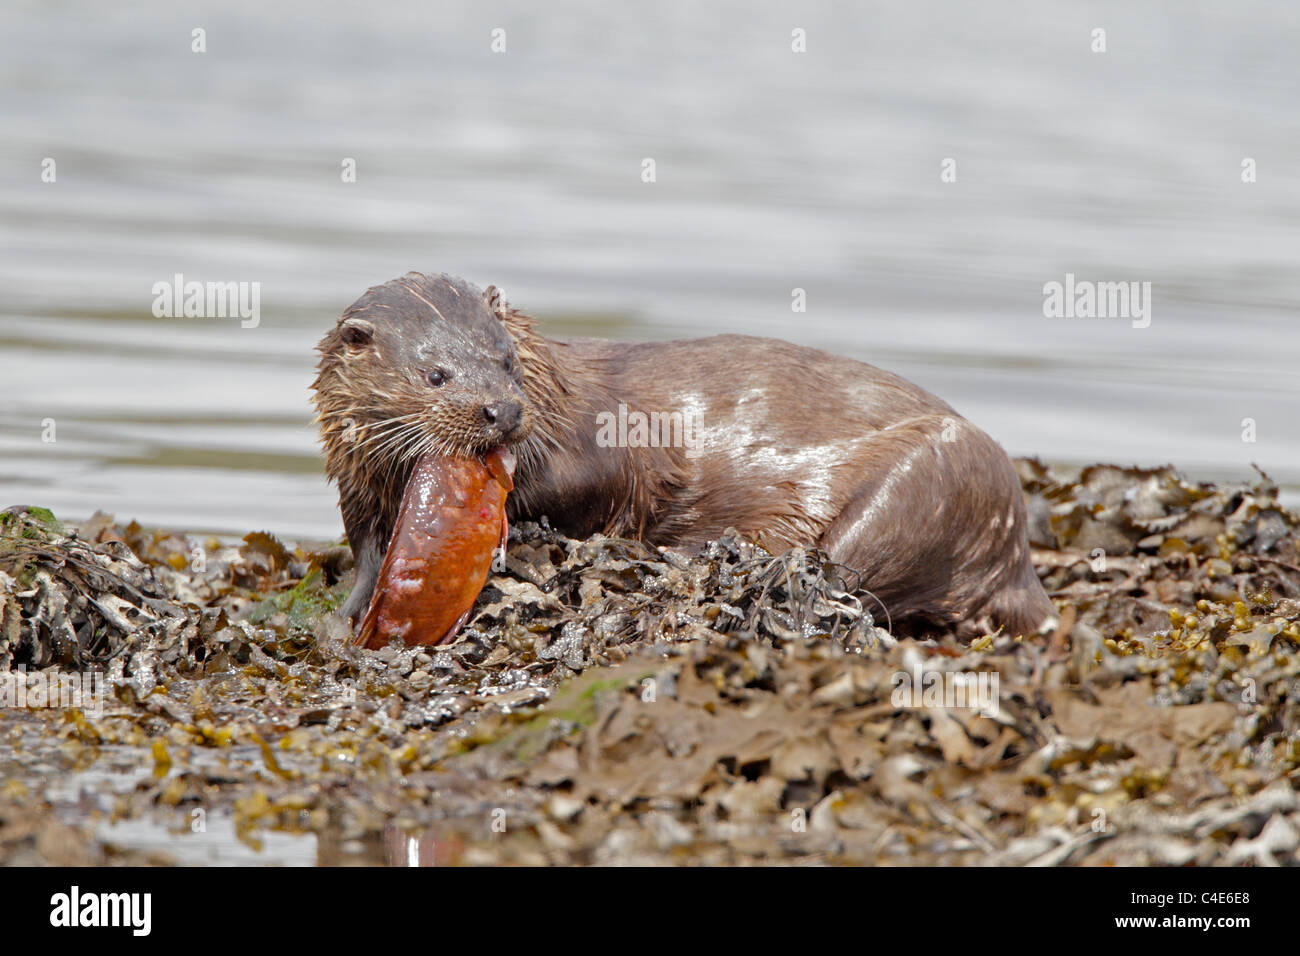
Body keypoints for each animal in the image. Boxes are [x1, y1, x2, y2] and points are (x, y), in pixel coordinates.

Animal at [312, 273, 1055, 639]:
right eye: (435, 374)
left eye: (504, 359)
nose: (502, 411)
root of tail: (1015, 555)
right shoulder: (356, 489)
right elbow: (367, 555)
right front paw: (345, 618)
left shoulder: (599, 443)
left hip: (932, 481)